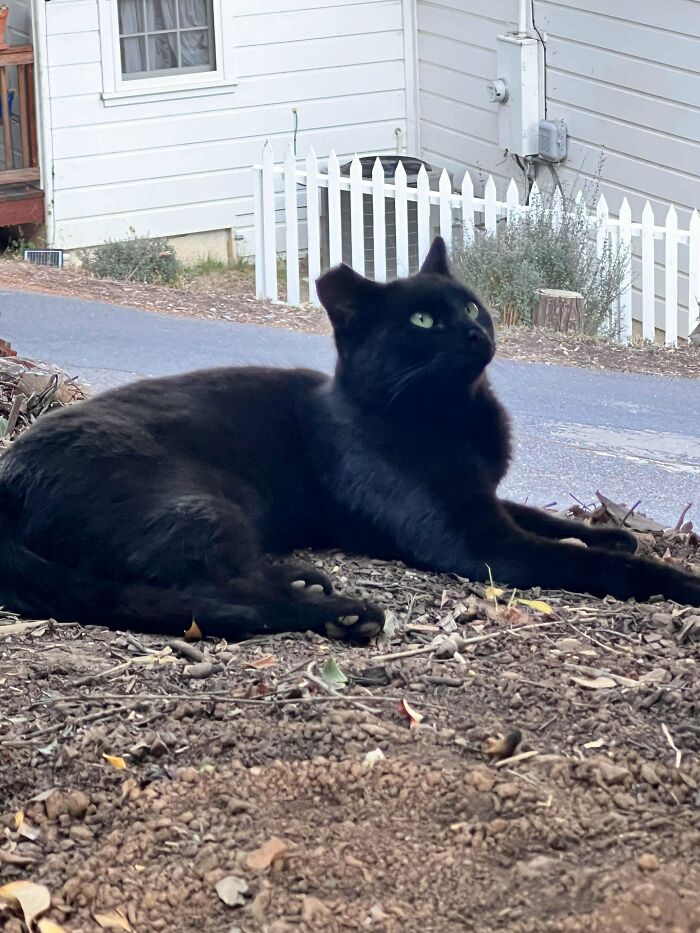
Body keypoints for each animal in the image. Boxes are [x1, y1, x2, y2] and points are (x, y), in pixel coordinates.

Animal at [0, 238, 696, 640]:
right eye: (423, 320)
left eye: (471, 306)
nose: (476, 332)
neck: (459, 415)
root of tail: (10, 475)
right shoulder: (474, 537)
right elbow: (593, 563)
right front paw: (675, 579)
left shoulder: (483, 497)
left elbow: (538, 513)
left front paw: (609, 531)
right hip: (193, 502)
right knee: (217, 595)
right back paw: (339, 613)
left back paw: (310, 582)